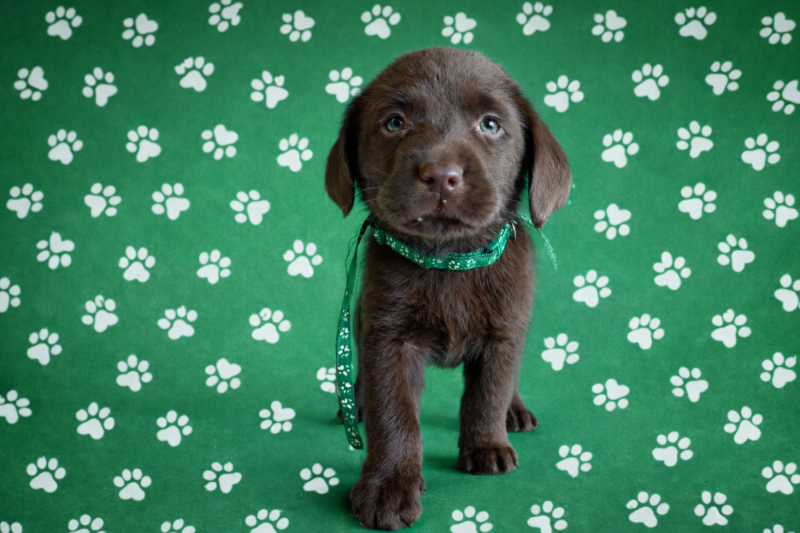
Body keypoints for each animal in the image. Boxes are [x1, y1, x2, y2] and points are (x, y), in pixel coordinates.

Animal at [325, 47, 571, 530]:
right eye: (395, 122)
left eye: (490, 124)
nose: (441, 175)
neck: (448, 261)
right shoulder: (388, 338)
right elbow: (393, 414)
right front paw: (388, 485)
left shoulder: (505, 331)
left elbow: (488, 392)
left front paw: (486, 445)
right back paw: (354, 401)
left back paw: (514, 412)